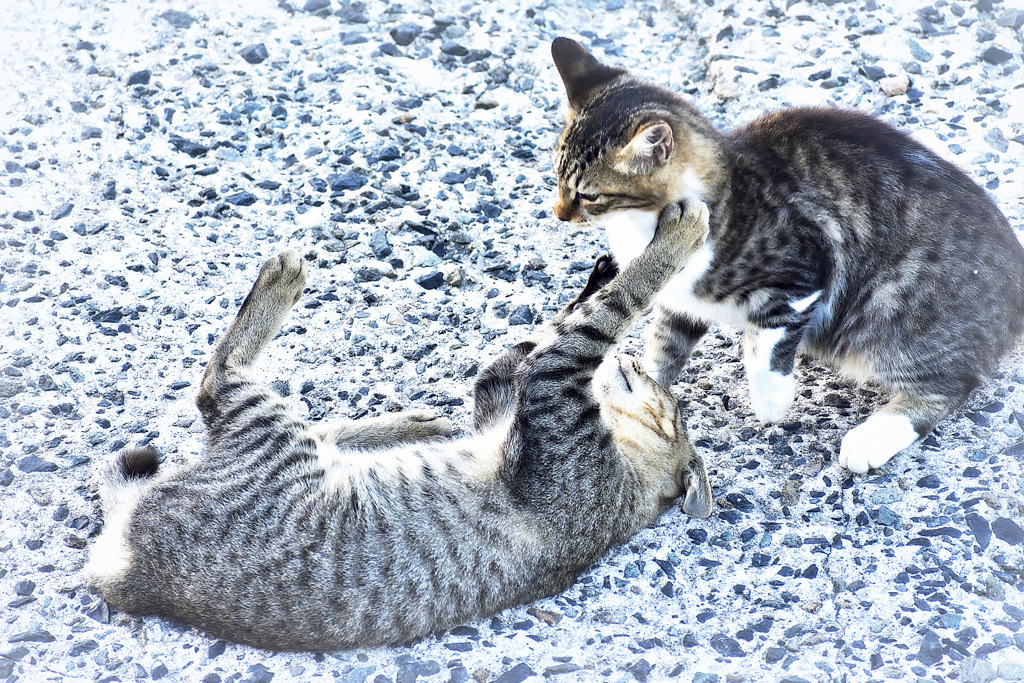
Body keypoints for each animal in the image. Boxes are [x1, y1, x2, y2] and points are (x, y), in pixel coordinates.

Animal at [86, 201, 712, 651]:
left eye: (662, 394)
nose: (637, 364)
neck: (629, 472)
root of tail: (131, 573)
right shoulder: (511, 390)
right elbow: (546, 333)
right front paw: (595, 279)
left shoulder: (555, 392)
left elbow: (607, 313)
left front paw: (672, 244)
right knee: (308, 425)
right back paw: (406, 423)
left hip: (272, 439)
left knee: (218, 379)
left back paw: (282, 283)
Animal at [548, 37, 1024, 475]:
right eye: (556, 176)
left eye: (588, 194)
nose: (558, 213)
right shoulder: (678, 300)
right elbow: (663, 347)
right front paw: (640, 386)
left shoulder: (802, 272)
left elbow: (769, 342)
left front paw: (772, 401)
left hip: (890, 309)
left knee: (948, 382)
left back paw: (872, 437)